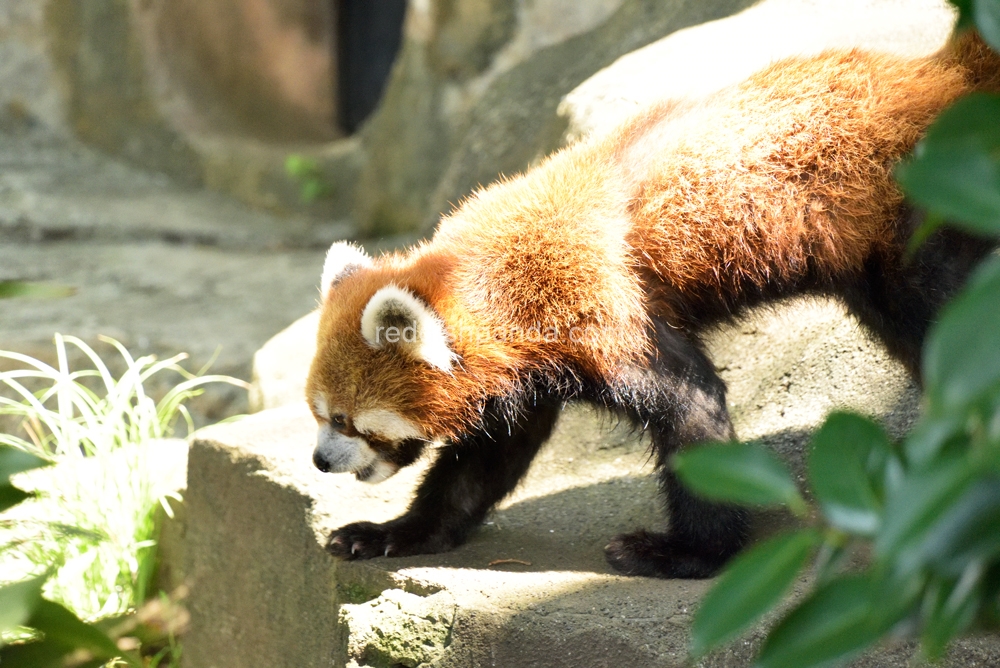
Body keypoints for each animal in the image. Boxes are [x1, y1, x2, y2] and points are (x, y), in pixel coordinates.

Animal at [304, 36, 1000, 576]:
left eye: (345, 421)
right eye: (318, 415)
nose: (320, 460)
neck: (496, 281)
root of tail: (937, 76)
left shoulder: (606, 309)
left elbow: (692, 409)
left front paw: (689, 555)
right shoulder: (524, 372)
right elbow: (480, 464)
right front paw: (395, 533)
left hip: (916, 228)